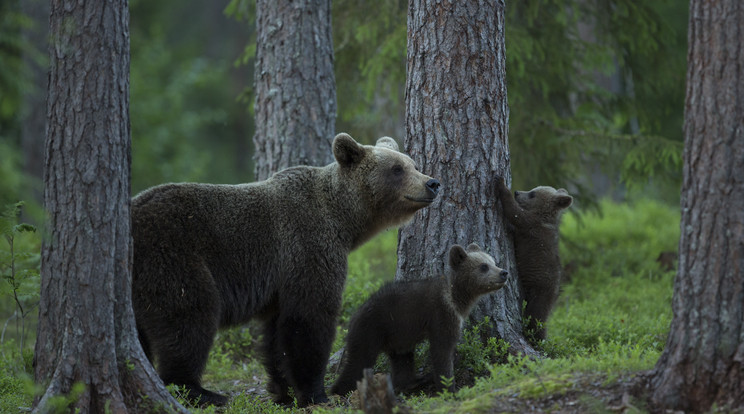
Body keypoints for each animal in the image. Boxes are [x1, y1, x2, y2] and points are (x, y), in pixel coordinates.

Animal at [132, 134, 438, 406]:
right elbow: (310, 318)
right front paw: (316, 393)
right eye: (397, 168)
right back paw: (201, 392)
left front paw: (283, 391)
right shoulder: (307, 246)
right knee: (191, 317)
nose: (432, 182)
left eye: (412, 163)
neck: (344, 221)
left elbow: (276, 335)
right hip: (173, 257)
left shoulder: (280, 282)